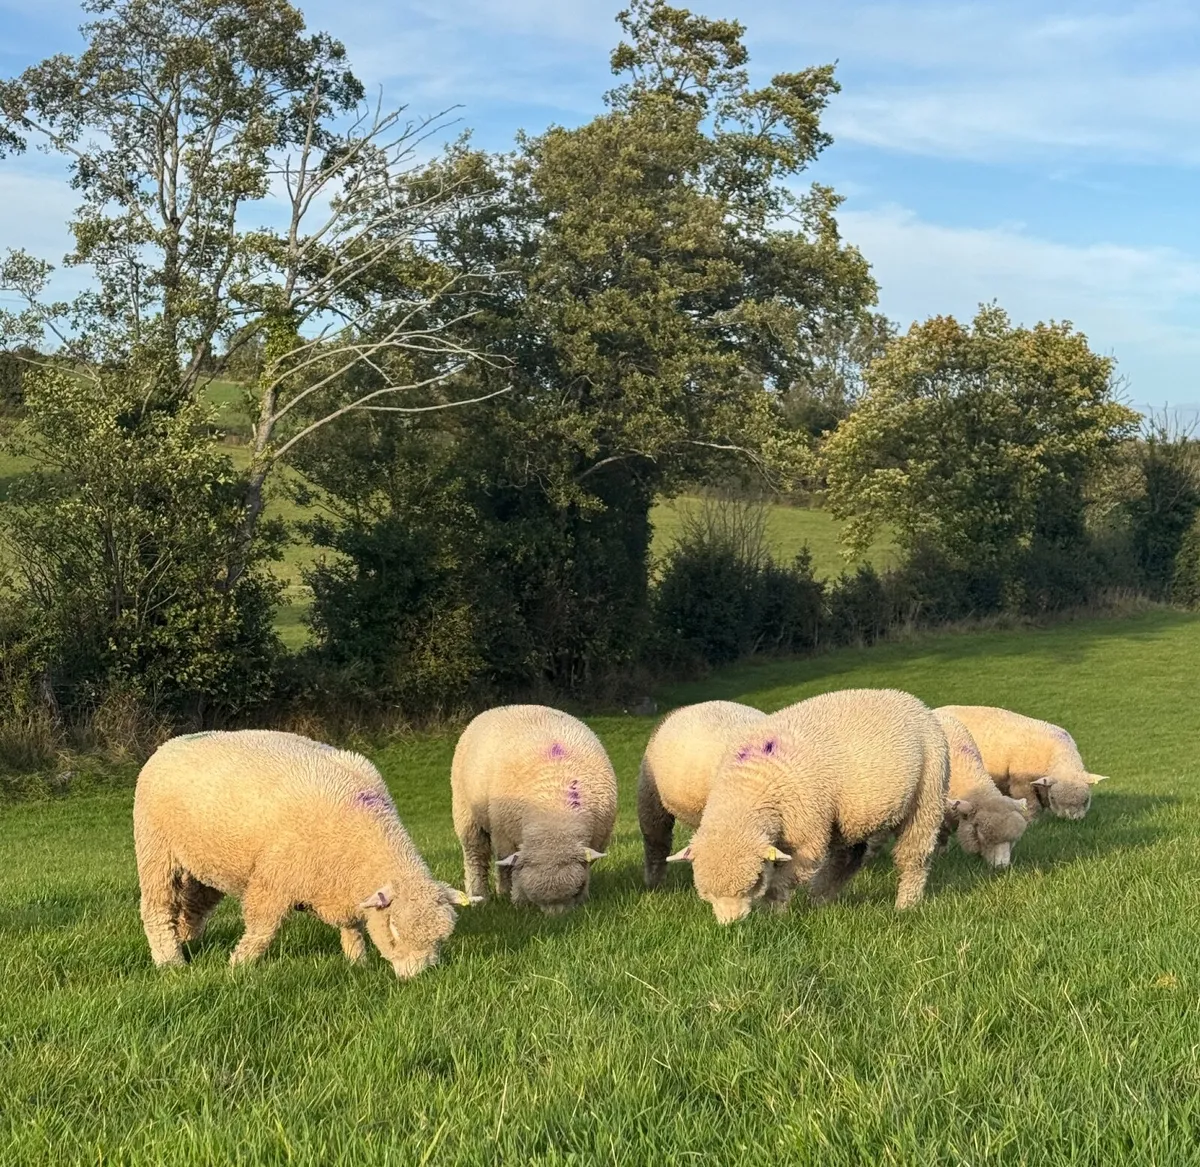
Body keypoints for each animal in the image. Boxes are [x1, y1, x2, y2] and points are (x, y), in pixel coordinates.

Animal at [133, 729, 473, 977]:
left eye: (440, 939)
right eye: (393, 931)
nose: (418, 977)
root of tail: (169, 744)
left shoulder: (340, 888)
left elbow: (351, 926)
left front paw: (357, 961)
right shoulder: (273, 879)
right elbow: (262, 929)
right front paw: (238, 966)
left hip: (207, 863)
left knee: (194, 905)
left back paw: (187, 941)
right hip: (156, 850)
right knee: (157, 908)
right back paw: (170, 961)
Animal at [451, 705, 617, 914]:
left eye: (575, 891)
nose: (557, 919)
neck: (554, 817)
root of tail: (507, 707)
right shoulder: (507, 838)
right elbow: (512, 868)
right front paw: (518, 899)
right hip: (466, 813)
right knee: (476, 855)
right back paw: (481, 895)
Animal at [668, 688, 948, 923]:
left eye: (755, 881)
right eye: (705, 892)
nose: (731, 926)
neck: (750, 788)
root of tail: (911, 700)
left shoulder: (806, 839)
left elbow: (781, 883)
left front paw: (773, 915)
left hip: (927, 797)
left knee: (914, 856)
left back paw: (905, 904)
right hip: (852, 815)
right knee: (849, 857)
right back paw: (819, 898)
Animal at [936, 705, 1109, 820]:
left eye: (1086, 800)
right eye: (1054, 798)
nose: (1071, 820)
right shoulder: (1021, 783)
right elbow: (1032, 804)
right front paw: (1033, 821)